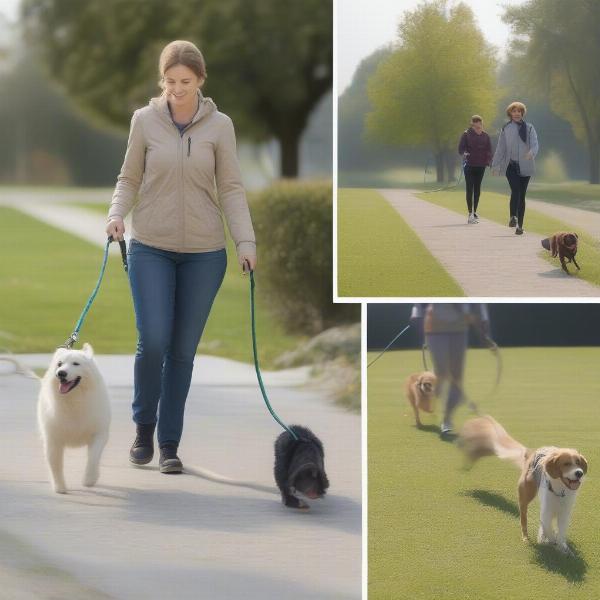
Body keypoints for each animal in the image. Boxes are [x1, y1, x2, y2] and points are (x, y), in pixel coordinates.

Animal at [37, 342, 111, 492]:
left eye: (76, 364)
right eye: (59, 364)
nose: (61, 373)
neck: (73, 400)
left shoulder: (99, 433)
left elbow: (93, 458)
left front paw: (89, 479)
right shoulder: (53, 438)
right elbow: (55, 465)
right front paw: (60, 487)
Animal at [460, 418, 584, 552]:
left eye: (578, 462)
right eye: (566, 464)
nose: (579, 473)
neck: (560, 490)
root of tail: (531, 454)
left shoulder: (564, 512)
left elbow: (560, 533)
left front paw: (562, 548)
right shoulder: (546, 510)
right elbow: (547, 527)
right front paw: (548, 540)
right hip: (525, 498)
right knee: (523, 521)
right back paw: (526, 538)